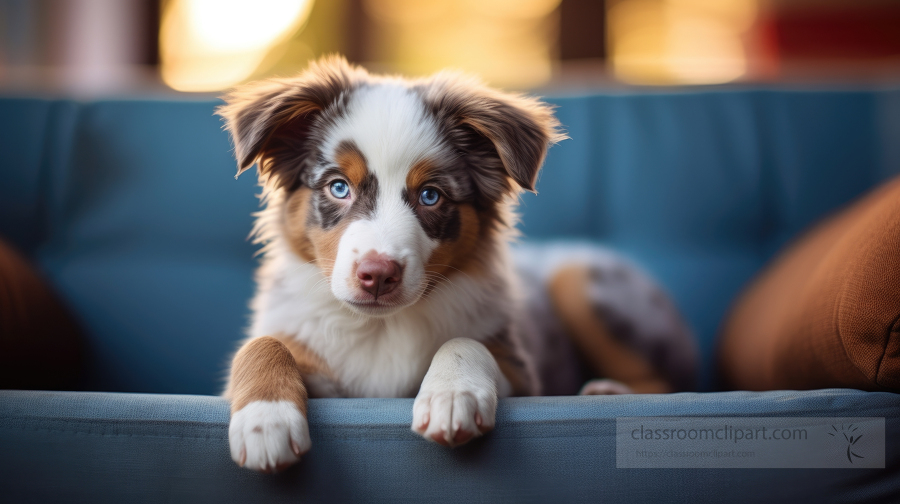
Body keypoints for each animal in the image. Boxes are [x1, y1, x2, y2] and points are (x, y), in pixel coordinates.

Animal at [218, 59, 696, 472]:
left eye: (431, 195)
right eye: (339, 187)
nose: (377, 275)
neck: (381, 328)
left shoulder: (523, 373)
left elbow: (466, 341)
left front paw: (451, 396)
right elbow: (263, 344)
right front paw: (265, 421)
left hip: (578, 278)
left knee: (672, 384)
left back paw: (605, 391)